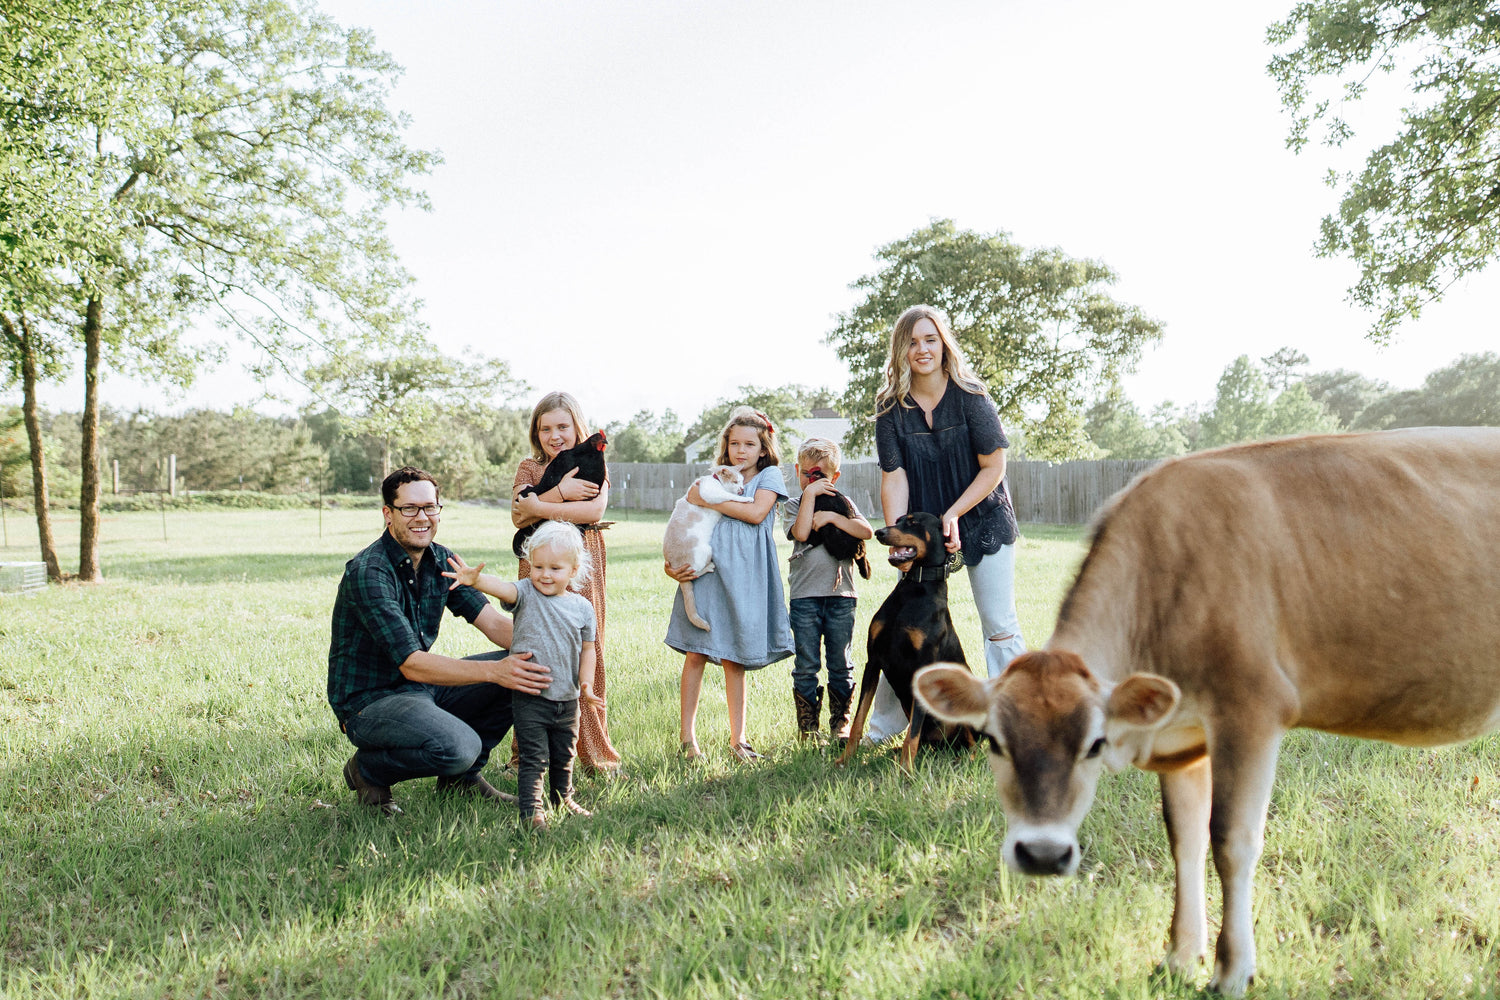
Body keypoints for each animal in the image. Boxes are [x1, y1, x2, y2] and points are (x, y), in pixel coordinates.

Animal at [662, 465, 755, 630]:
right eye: (735, 481)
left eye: (742, 480)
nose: (743, 489)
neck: (716, 481)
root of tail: (674, 564)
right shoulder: (711, 494)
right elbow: (731, 497)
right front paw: (747, 499)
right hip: (705, 551)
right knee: (695, 573)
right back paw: (709, 567)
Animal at [835, 511, 979, 768]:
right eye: (898, 520)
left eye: (913, 522)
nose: (879, 532)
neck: (915, 588)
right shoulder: (874, 661)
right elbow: (859, 719)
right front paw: (846, 759)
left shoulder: (923, 669)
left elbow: (911, 735)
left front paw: (906, 771)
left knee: (974, 743)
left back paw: (965, 759)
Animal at [912, 427, 1500, 996]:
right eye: (994, 741)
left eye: (1094, 745)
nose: (1041, 854)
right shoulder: (1180, 737)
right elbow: (1185, 840)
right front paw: (1179, 957)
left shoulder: (1251, 707)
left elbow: (1231, 841)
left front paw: (1233, 969)